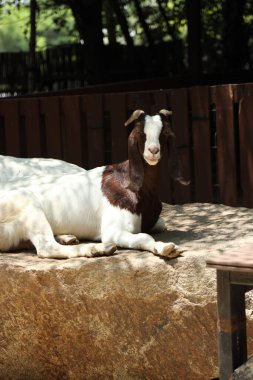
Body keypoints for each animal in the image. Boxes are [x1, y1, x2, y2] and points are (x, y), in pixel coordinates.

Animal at [0, 108, 188, 260]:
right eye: (141, 133)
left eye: (163, 134)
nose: (153, 151)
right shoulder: (112, 230)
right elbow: (144, 236)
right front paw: (165, 248)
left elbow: (161, 224)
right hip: (27, 207)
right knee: (47, 248)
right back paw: (99, 248)